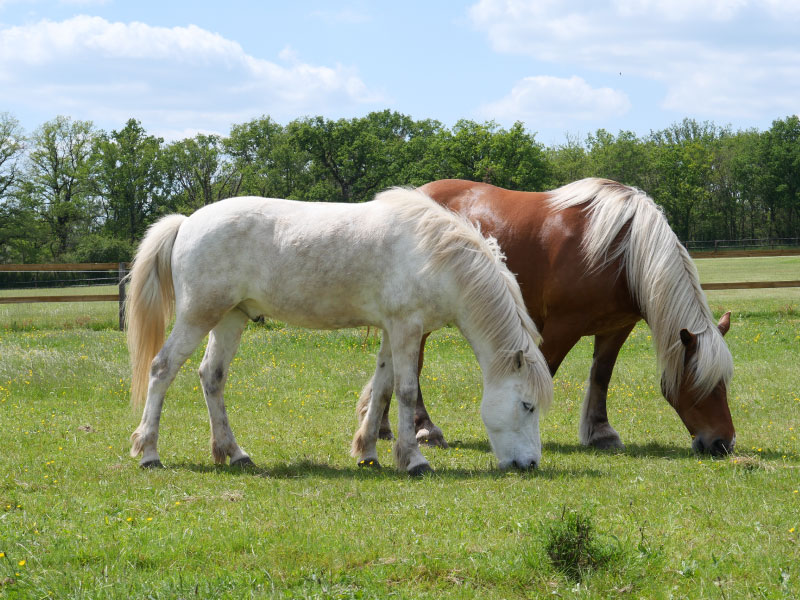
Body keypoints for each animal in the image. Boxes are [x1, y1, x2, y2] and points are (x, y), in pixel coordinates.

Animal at [126, 187, 552, 475]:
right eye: (527, 405)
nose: (530, 464)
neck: (437, 257)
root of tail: (187, 222)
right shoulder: (407, 329)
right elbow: (406, 391)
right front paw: (414, 460)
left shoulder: (391, 331)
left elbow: (382, 389)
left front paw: (369, 453)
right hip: (198, 315)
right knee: (162, 369)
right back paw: (149, 453)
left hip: (231, 318)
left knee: (211, 377)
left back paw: (235, 454)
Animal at [358, 178, 735, 456]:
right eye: (699, 382)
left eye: (724, 383)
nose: (723, 443)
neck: (622, 251)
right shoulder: (561, 327)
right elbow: (544, 372)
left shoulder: (616, 328)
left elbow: (601, 376)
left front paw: (601, 433)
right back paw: (425, 429)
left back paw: (383, 426)